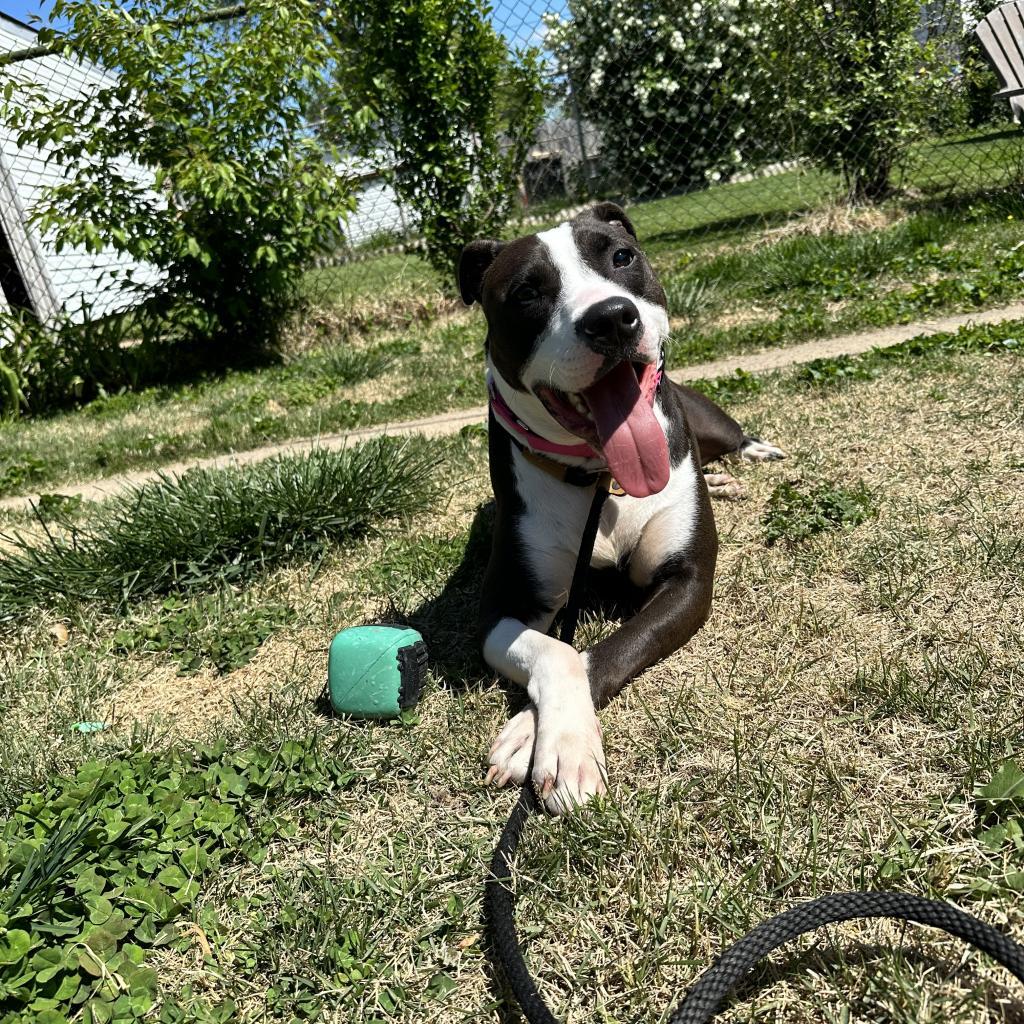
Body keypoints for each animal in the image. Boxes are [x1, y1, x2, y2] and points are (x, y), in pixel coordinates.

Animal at [458, 201, 782, 815]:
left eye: (622, 257)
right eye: (527, 291)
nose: (611, 318)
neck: (603, 476)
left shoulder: (686, 581)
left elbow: (602, 652)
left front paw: (534, 735)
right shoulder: (499, 610)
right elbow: (558, 652)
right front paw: (552, 738)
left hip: (711, 422)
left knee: (732, 437)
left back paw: (748, 459)